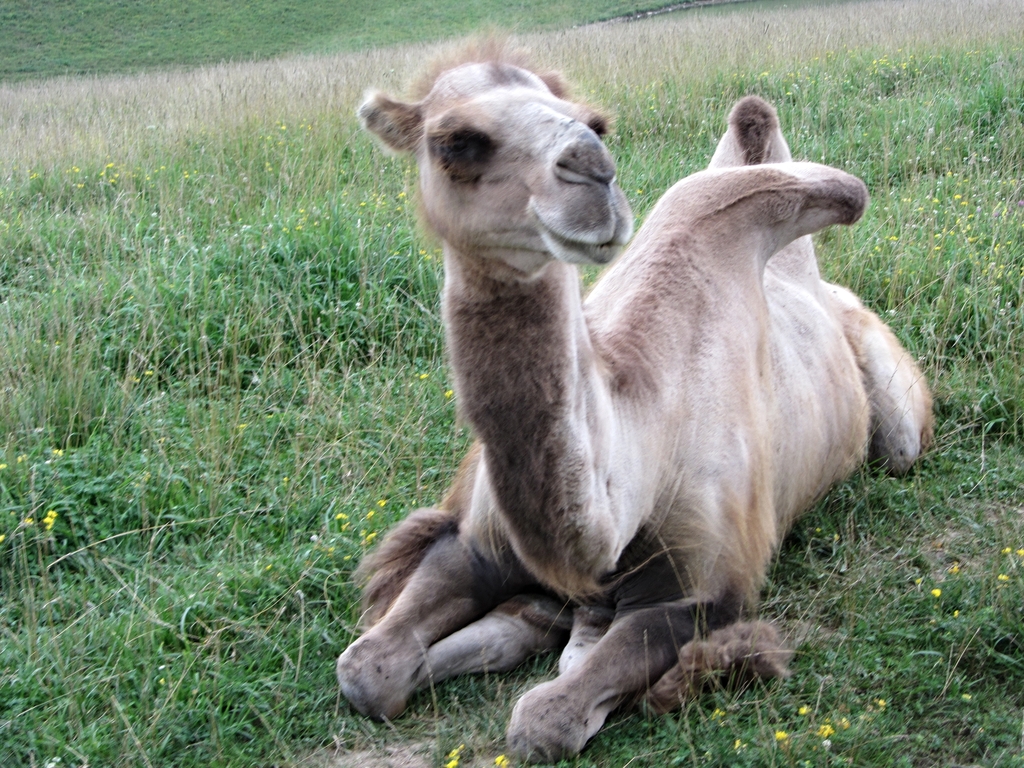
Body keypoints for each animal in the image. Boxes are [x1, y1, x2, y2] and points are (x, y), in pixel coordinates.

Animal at [336, 42, 933, 762]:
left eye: (596, 122)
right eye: (456, 141)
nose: (593, 174)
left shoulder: (702, 593)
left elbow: (544, 720)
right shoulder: (478, 543)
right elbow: (367, 669)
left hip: (894, 414)